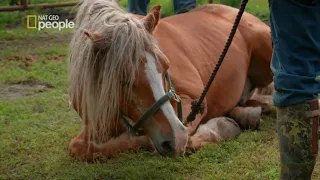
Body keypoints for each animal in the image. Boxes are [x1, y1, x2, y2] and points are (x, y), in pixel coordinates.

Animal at [67, 0, 272, 160]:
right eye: (123, 79)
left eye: (166, 66)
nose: (175, 138)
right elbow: (79, 148)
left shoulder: (194, 100)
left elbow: (185, 137)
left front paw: (219, 127)